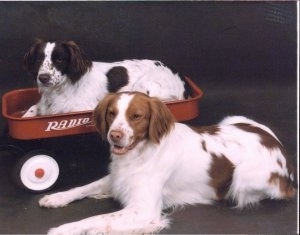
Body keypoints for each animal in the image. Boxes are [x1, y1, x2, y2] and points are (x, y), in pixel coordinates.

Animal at [22, 40, 190, 118]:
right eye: (38, 59)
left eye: (59, 59)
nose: (43, 78)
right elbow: (33, 108)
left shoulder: (84, 108)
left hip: (143, 87)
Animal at [38, 92, 296, 235]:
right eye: (112, 113)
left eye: (136, 116)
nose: (114, 136)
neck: (140, 153)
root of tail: (278, 144)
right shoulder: (117, 178)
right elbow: (84, 187)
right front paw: (56, 197)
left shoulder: (143, 209)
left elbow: (97, 219)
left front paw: (63, 229)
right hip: (233, 118)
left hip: (242, 178)